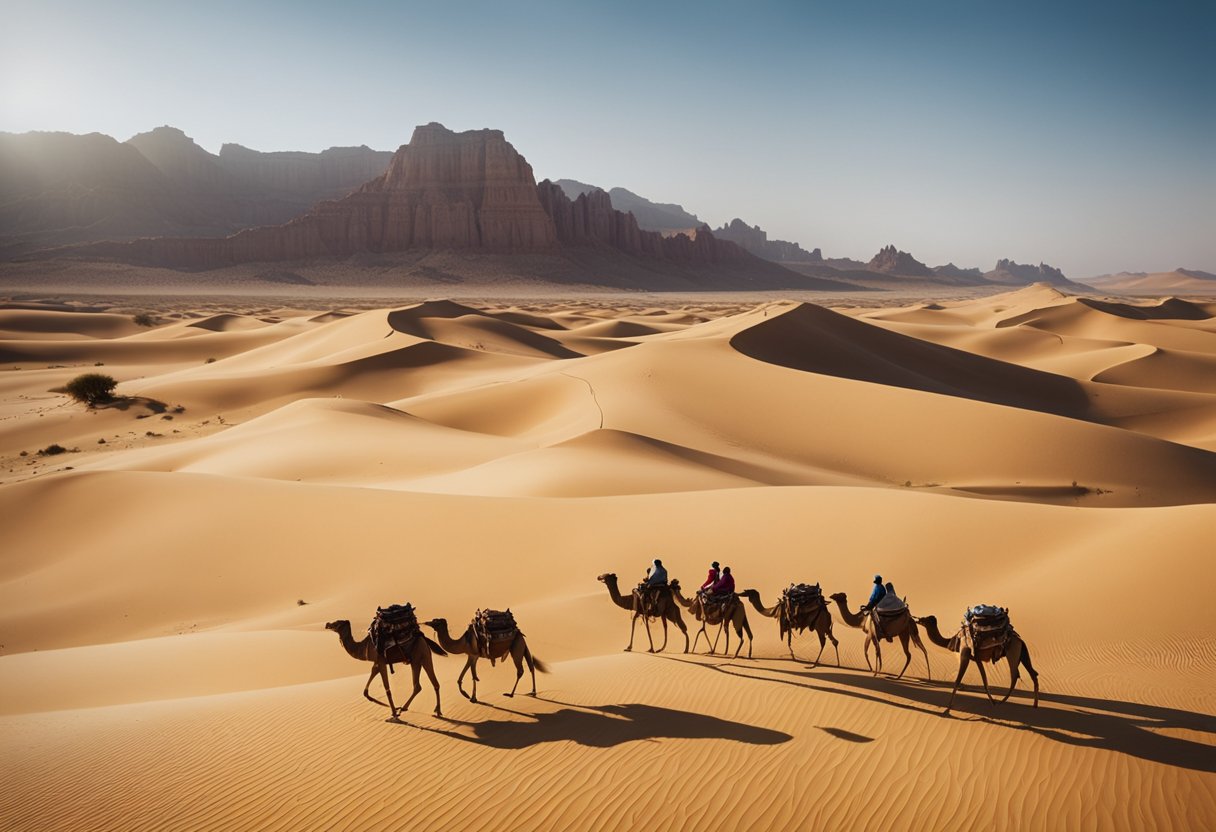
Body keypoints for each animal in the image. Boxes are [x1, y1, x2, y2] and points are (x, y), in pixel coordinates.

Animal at [420, 617, 549, 700]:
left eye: (435, 621)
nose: (426, 622)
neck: (462, 642)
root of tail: (520, 633)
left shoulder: (473, 655)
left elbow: (473, 675)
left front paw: (472, 697)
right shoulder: (472, 656)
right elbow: (466, 675)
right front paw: (467, 694)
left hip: (517, 648)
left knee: (521, 670)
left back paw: (511, 694)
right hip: (521, 646)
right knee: (531, 666)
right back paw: (533, 692)